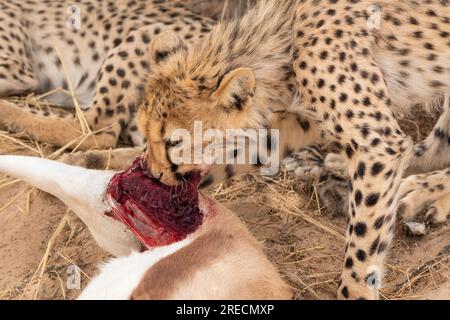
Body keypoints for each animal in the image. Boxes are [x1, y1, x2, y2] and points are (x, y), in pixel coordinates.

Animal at [134, 0, 450, 300]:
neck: (285, 43)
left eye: (175, 142)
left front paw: (355, 292)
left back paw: (423, 193)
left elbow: (363, 241)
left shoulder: (378, 145)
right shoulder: (300, 121)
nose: (155, 174)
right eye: (144, 131)